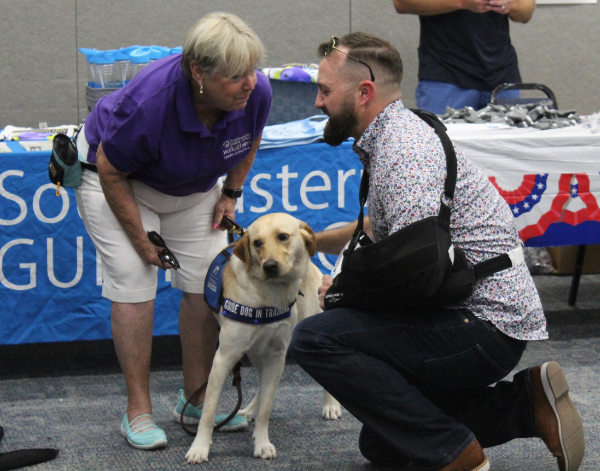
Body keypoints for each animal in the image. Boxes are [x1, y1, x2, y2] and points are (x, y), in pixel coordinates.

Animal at [185, 214, 340, 464]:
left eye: (283, 236)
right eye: (257, 243)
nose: (270, 266)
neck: (270, 293)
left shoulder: (276, 355)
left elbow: (266, 408)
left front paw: (262, 443)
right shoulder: (224, 357)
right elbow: (208, 411)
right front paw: (199, 447)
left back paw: (331, 405)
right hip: (256, 352)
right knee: (261, 382)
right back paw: (249, 411)